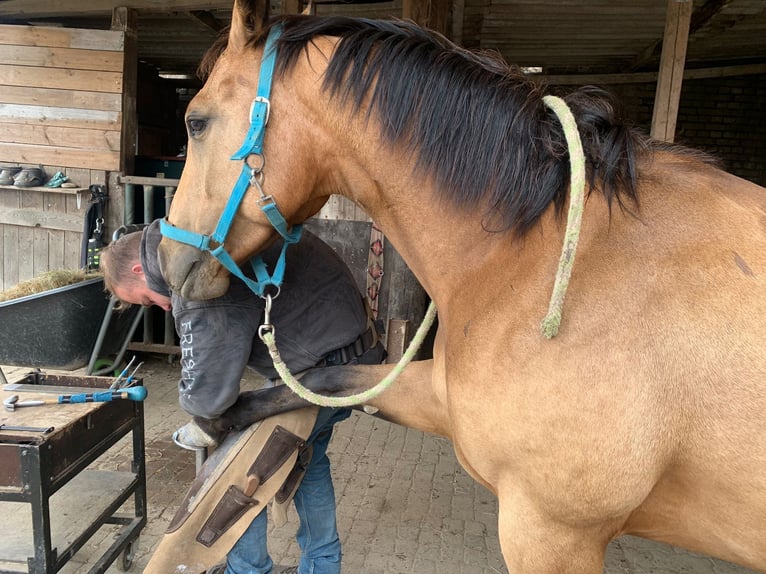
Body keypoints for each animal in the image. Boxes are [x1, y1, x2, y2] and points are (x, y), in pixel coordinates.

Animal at [158, 3, 766, 572]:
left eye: (195, 122)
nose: (169, 258)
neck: (537, 258)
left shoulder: (548, 534)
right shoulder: (435, 396)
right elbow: (328, 378)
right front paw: (218, 423)